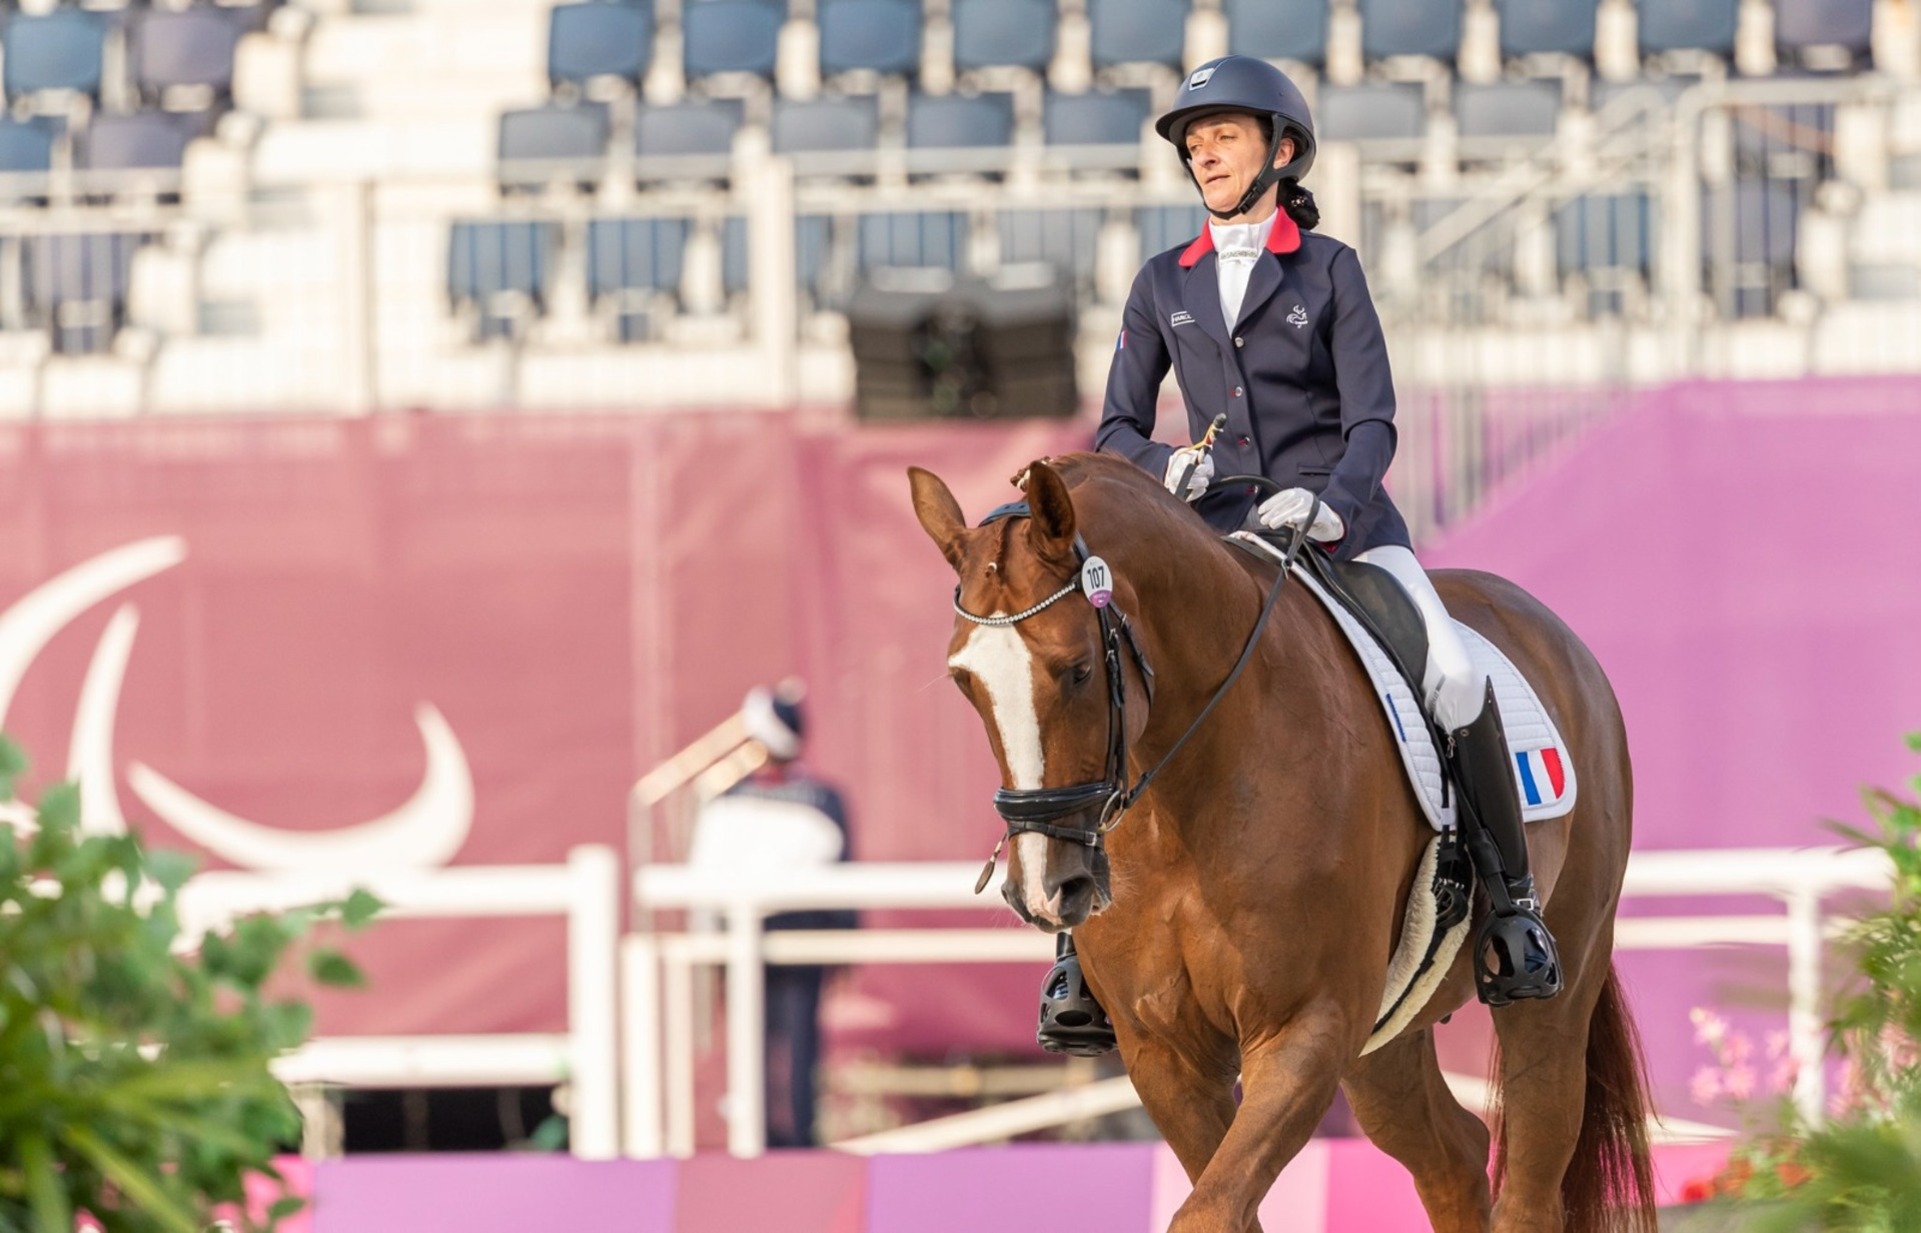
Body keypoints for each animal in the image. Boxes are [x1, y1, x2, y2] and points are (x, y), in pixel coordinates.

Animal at [910, 453, 1652, 1229]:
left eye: (1078, 669)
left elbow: (1207, 1212)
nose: (1044, 889)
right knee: (1452, 1152)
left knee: (1531, 1177)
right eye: (964, 682)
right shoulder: (1165, 1053)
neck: (1189, 795)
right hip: (1383, 1036)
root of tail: (1545, 628)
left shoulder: (1305, 1027)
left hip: (1552, 997)